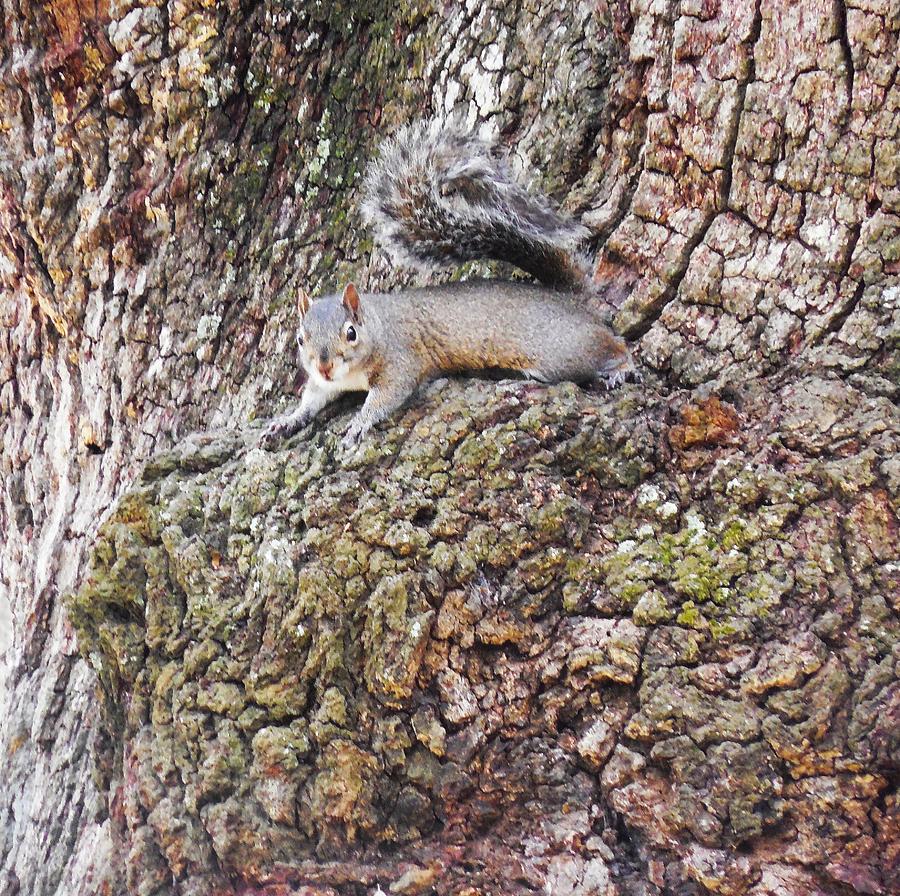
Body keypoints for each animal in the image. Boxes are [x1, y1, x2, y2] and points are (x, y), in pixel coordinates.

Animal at [262, 117, 637, 449]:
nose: (324, 366)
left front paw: (360, 423)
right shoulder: (325, 384)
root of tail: (570, 300)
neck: (377, 326)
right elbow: (313, 398)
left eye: (350, 333)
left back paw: (620, 368)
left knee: (614, 347)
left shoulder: (401, 360)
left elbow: (387, 395)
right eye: (300, 338)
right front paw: (288, 419)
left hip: (560, 351)